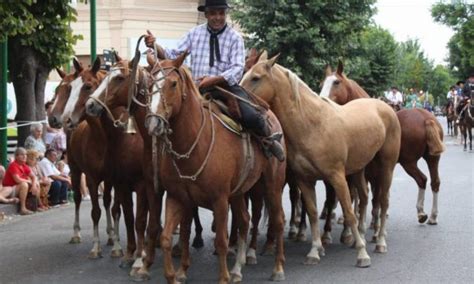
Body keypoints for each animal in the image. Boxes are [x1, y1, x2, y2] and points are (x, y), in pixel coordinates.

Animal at [48, 59, 116, 258]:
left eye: (88, 86)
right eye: (59, 90)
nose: (61, 119)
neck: (101, 138)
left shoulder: (110, 177)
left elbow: (107, 203)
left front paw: (111, 237)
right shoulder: (92, 179)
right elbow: (95, 211)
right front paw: (96, 247)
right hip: (75, 169)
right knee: (78, 197)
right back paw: (76, 233)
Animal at [144, 52, 286, 282]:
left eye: (173, 83)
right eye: (149, 84)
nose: (153, 123)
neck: (195, 142)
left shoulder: (219, 200)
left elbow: (221, 241)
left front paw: (223, 277)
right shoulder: (177, 197)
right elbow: (168, 237)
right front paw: (174, 274)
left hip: (272, 185)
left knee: (278, 220)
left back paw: (278, 268)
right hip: (239, 192)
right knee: (244, 220)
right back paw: (237, 269)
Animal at [241, 54, 400, 266]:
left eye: (256, 78)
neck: (312, 125)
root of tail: (384, 107)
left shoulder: (336, 177)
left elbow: (348, 212)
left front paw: (362, 254)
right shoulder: (304, 180)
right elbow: (313, 213)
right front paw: (314, 251)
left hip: (385, 167)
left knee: (382, 201)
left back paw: (380, 241)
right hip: (359, 170)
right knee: (365, 198)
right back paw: (361, 235)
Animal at [320, 61, 446, 225]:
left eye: (336, 82)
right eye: (322, 83)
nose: (321, 100)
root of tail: (427, 119)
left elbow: (358, 191)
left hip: (409, 162)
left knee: (421, 179)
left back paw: (421, 212)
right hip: (432, 159)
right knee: (434, 182)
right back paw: (432, 216)